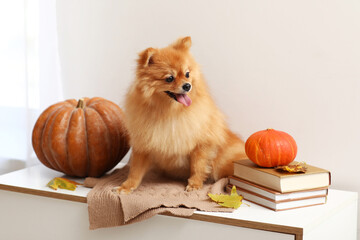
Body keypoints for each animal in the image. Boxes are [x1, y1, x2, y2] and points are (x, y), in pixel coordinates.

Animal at [114, 36, 246, 193]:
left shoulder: (202, 144)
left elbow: (198, 166)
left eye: (187, 74)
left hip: (224, 162)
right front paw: (127, 186)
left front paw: (194, 184)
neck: (170, 112)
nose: (187, 85)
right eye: (169, 78)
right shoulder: (144, 143)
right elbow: (135, 169)